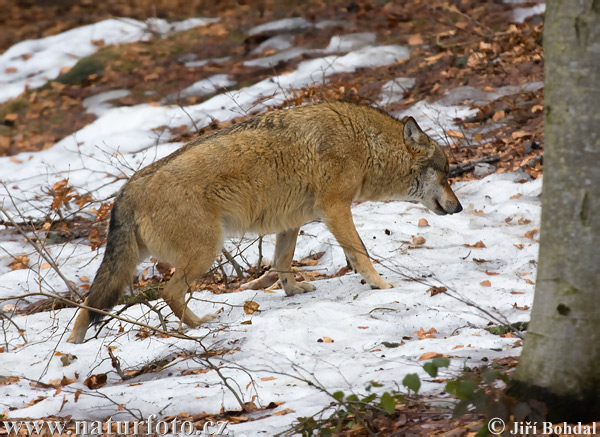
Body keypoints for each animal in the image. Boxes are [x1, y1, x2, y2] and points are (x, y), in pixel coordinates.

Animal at [69, 100, 464, 342]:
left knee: (89, 306)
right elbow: (361, 252)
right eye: (446, 174)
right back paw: (200, 326)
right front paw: (381, 285)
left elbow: (282, 262)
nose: (459, 207)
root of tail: (126, 190)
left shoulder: (292, 222)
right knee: (168, 292)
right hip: (206, 252)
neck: (364, 144)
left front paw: (293, 292)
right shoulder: (336, 208)